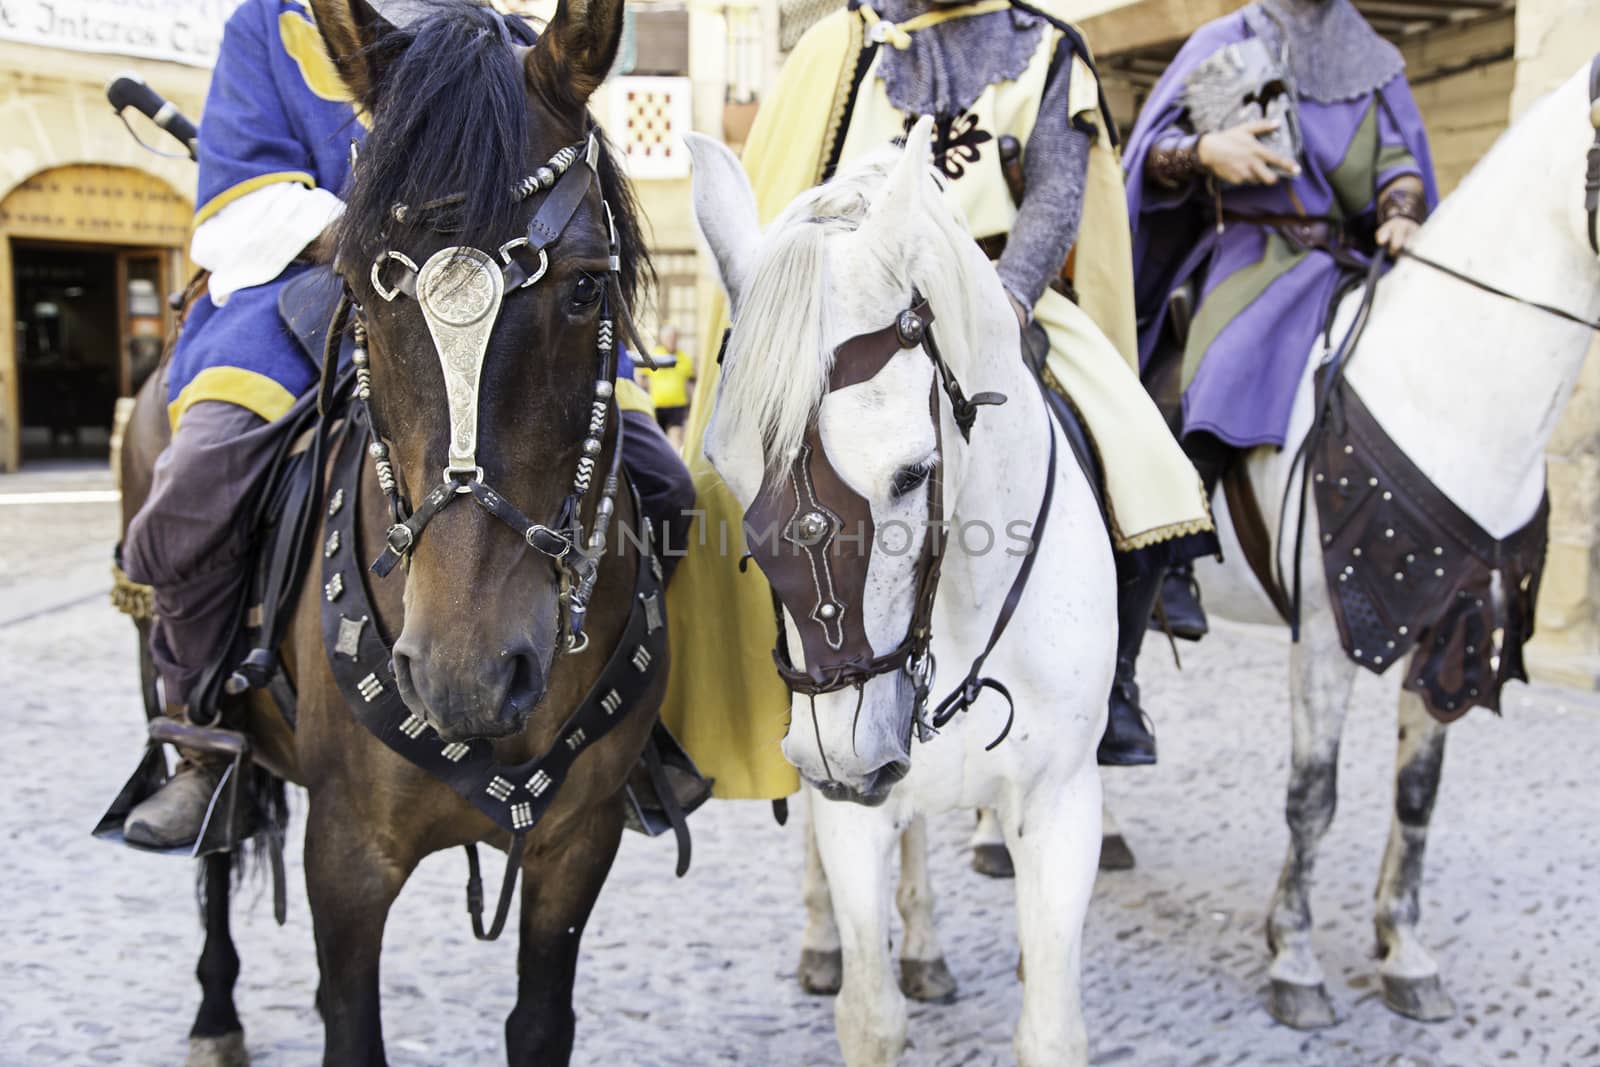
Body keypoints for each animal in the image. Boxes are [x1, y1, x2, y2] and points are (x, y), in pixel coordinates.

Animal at [121, 4, 665, 1062]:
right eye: (361, 293)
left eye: (585, 288)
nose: (466, 674)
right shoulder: (347, 860)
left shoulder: (578, 848)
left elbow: (540, 1023)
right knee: (215, 842)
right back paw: (214, 1004)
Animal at [684, 116, 1113, 1067]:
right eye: (732, 479)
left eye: (914, 474)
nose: (844, 753)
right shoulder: (849, 807)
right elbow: (870, 1014)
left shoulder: (1062, 805)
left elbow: (1053, 1025)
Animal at [819, 64, 1600, 1036]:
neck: (1448, 391)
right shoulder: (1328, 636)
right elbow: (1314, 794)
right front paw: (1295, 959)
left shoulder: (1448, 629)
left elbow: (1416, 796)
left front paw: (1405, 951)